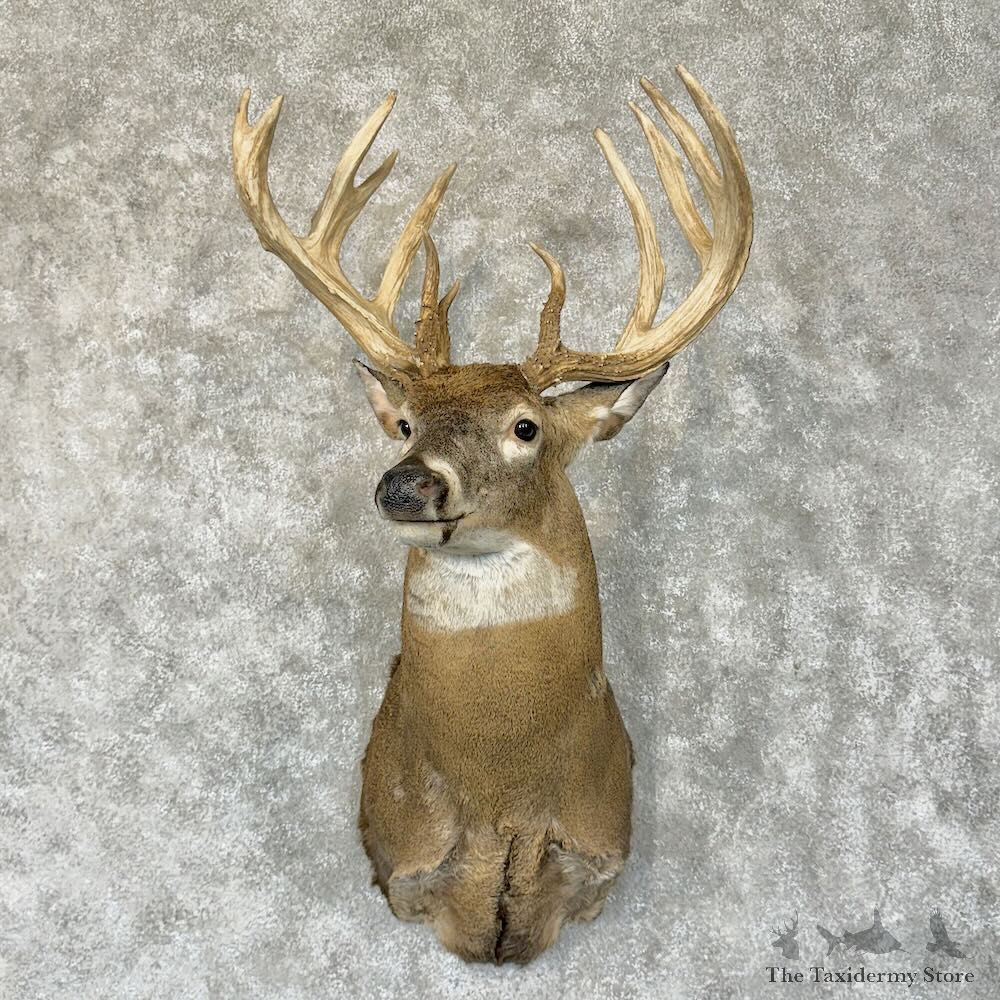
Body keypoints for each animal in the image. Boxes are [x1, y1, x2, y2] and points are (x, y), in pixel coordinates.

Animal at [232, 65, 753, 965]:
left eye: (526, 427)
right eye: (406, 423)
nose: (407, 485)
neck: (504, 794)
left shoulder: (599, 853)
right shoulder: (404, 861)